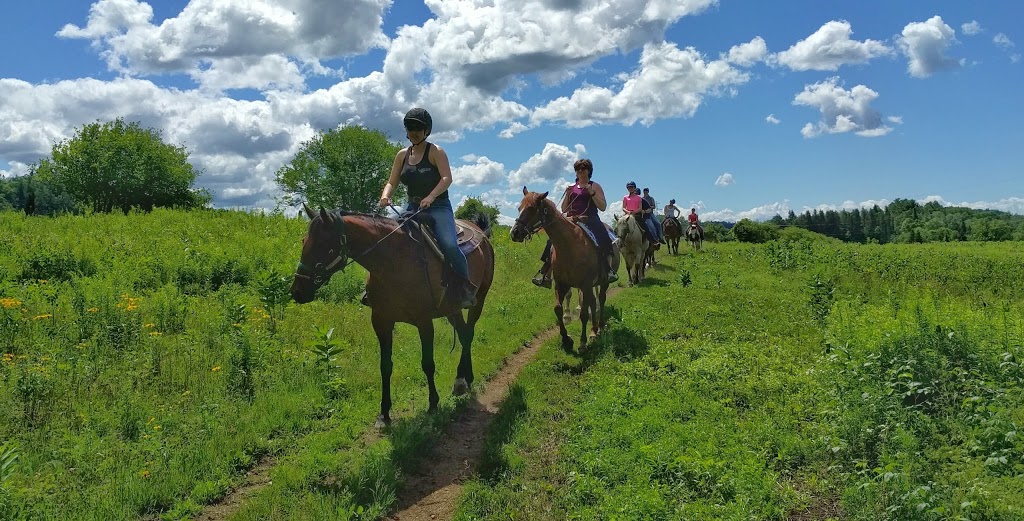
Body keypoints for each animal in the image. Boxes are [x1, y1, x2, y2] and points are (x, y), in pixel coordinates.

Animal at [288, 202, 495, 425]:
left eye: (323, 244)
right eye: (304, 241)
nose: (297, 291)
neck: (393, 262)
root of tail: (481, 233)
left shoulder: (424, 322)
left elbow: (428, 364)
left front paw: (433, 404)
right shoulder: (381, 321)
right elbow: (385, 366)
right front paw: (384, 413)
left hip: (479, 299)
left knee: (469, 333)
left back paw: (461, 381)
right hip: (452, 309)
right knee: (464, 335)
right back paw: (465, 379)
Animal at [509, 189, 618, 352]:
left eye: (531, 208)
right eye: (519, 208)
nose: (514, 232)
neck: (569, 246)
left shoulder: (585, 285)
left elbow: (584, 314)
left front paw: (582, 343)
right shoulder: (561, 284)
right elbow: (557, 309)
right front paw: (566, 340)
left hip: (602, 283)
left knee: (601, 299)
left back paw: (600, 327)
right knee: (593, 302)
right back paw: (593, 331)